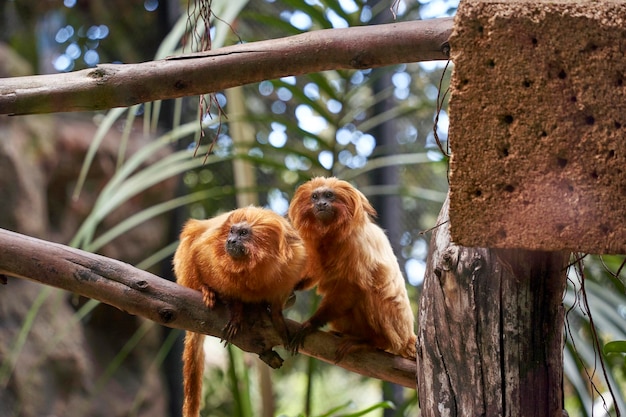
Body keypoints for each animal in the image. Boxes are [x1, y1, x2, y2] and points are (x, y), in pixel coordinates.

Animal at [173, 207, 304, 416]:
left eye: (243, 233)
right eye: (232, 232)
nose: (230, 241)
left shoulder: (293, 264)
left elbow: (279, 301)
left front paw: (276, 318)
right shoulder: (213, 249)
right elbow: (200, 251)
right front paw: (235, 313)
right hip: (185, 276)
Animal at [288, 175, 414, 358]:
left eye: (329, 195)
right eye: (315, 197)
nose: (321, 204)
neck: (331, 234)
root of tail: (408, 336)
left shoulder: (356, 246)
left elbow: (352, 287)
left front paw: (312, 323)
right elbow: (314, 272)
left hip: (394, 327)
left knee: (368, 291)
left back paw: (371, 342)